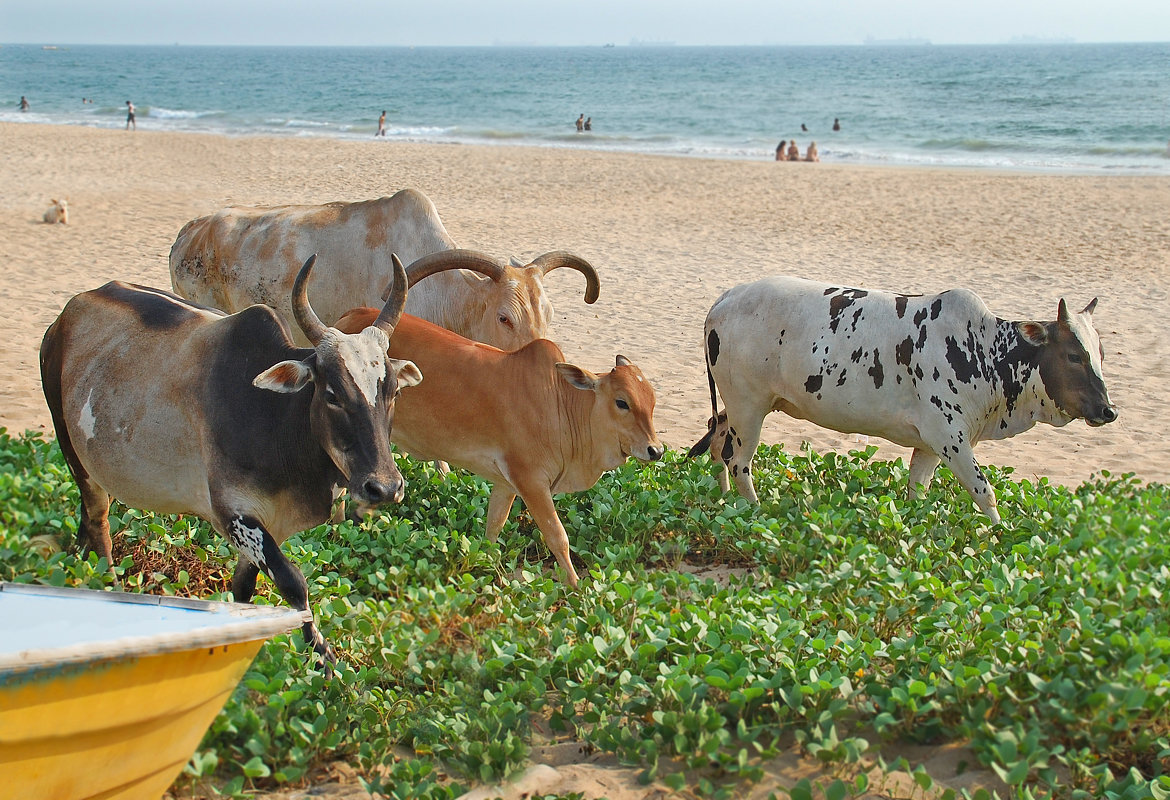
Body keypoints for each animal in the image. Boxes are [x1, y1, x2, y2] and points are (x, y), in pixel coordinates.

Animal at [41, 252, 435, 673]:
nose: (385, 487)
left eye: (393, 392)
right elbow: (294, 583)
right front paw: (324, 660)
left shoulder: (270, 525)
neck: (278, 420)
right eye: (332, 394)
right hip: (74, 452)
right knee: (98, 524)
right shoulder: (235, 514)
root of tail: (68, 313)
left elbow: (244, 587)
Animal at [336, 269, 669, 587]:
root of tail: (351, 317)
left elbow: (493, 528)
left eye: (652, 401)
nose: (655, 450)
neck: (560, 404)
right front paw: (577, 587)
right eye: (622, 402)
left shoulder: (506, 482)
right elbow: (557, 536)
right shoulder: (531, 481)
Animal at [687, 278, 1118, 521]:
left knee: (717, 438)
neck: (986, 350)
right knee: (738, 460)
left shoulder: (930, 445)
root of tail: (724, 300)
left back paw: (723, 498)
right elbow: (985, 493)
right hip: (749, 406)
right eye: (1073, 355)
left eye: (1099, 353)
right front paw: (1000, 536)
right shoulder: (950, 438)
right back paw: (754, 509)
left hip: (742, 407)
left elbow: (917, 492)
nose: (1108, 410)